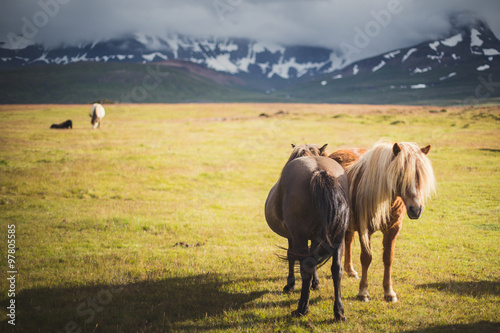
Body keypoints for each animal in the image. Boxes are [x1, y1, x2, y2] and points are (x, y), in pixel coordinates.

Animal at [264, 143, 350, 320]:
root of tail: (319, 171)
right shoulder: (318, 237)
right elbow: (314, 258)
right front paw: (315, 283)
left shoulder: (292, 236)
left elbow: (291, 256)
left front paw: (290, 284)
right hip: (338, 236)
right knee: (336, 269)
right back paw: (339, 311)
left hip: (300, 236)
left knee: (305, 267)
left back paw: (302, 307)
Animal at [330, 141, 436, 302]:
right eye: (400, 174)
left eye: (420, 175)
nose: (416, 210)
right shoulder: (364, 229)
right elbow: (366, 258)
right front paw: (363, 292)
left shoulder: (393, 229)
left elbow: (388, 259)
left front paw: (389, 292)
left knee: (348, 241)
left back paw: (350, 270)